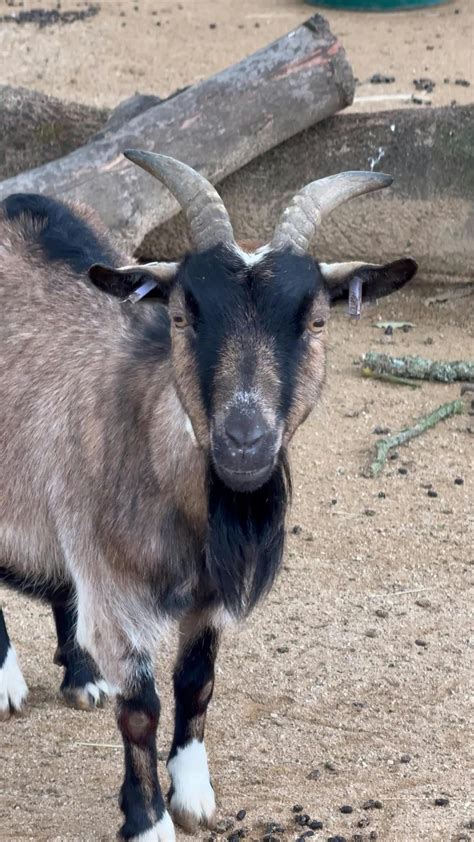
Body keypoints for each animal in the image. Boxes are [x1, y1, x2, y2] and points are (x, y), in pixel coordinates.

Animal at [0, 151, 417, 841]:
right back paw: (9, 682)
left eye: (316, 320)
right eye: (180, 316)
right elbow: (141, 707)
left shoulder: (208, 593)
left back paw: (82, 676)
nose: (244, 442)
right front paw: (147, 819)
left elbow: (197, 682)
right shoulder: (116, 591)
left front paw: (193, 792)